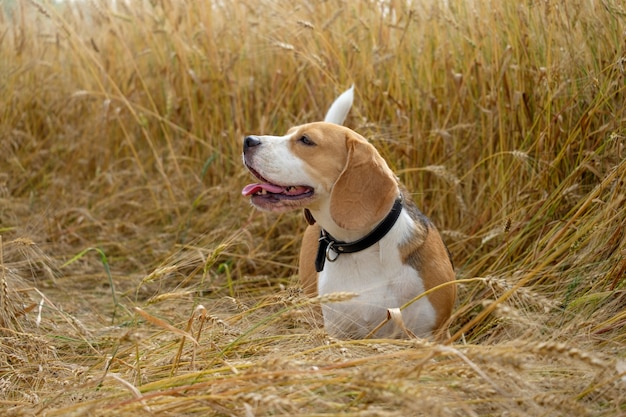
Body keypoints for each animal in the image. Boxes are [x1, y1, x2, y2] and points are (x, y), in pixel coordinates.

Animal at [243, 86, 454, 336]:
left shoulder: (430, 333)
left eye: (305, 140)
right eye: (289, 133)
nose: (248, 140)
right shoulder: (339, 332)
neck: (362, 247)